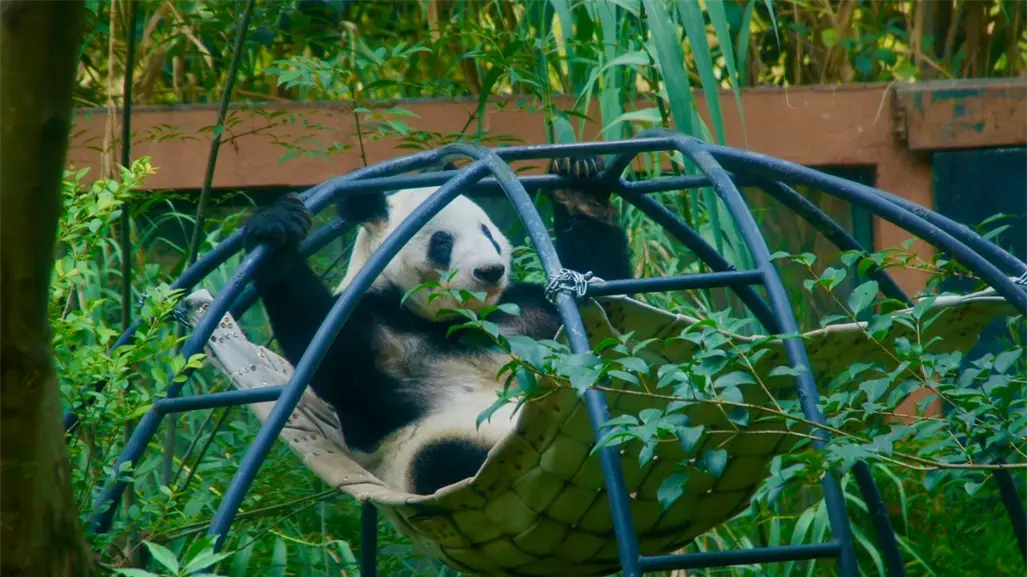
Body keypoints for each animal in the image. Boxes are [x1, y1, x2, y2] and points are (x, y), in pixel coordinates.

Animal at [241, 154, 635, 496]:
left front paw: (579, 183)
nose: (490, 271)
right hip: (429, 449)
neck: (450, 321)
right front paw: (277, 232)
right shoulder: (372, 325)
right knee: (447, 461)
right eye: (442, 240)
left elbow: (611, 302)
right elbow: (329, 359)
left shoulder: (525, 313)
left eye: (487, 233)